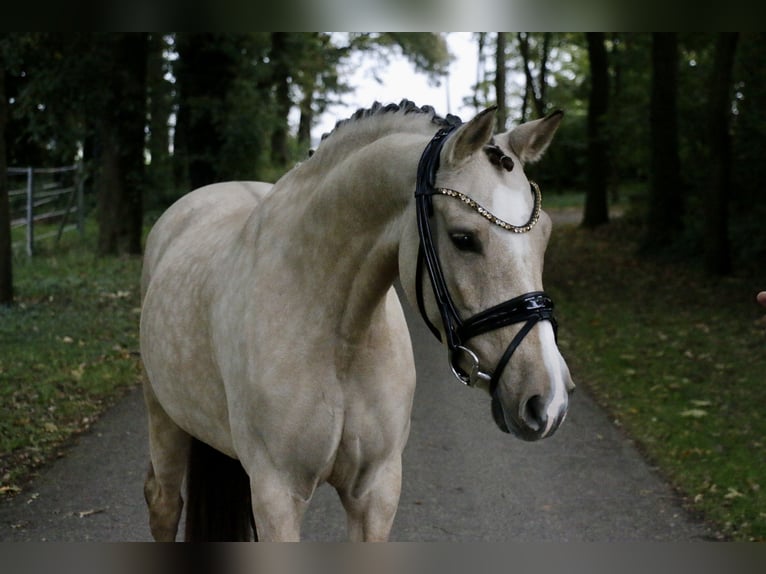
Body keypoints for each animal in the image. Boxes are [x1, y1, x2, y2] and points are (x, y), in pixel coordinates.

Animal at [140, 100, 576, 544]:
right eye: (464, 239)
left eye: (544, 235)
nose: (549, 400)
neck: (338, 338)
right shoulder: (277, 493)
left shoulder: (375, 490)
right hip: (163, 416)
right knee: (163, 503)